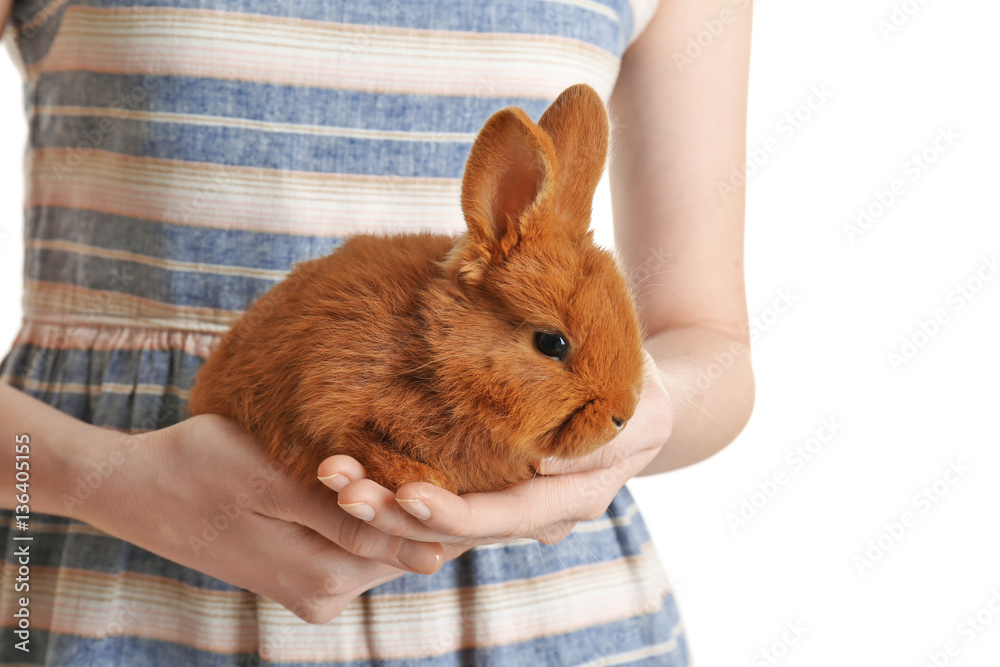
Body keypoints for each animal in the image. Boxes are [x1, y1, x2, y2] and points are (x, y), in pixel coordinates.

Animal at [187, 84, 647, 494]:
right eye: (552, 343)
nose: (622, 417)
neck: (431, 348)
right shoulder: (329, 397)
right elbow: (354, 438)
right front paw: (425, 479)